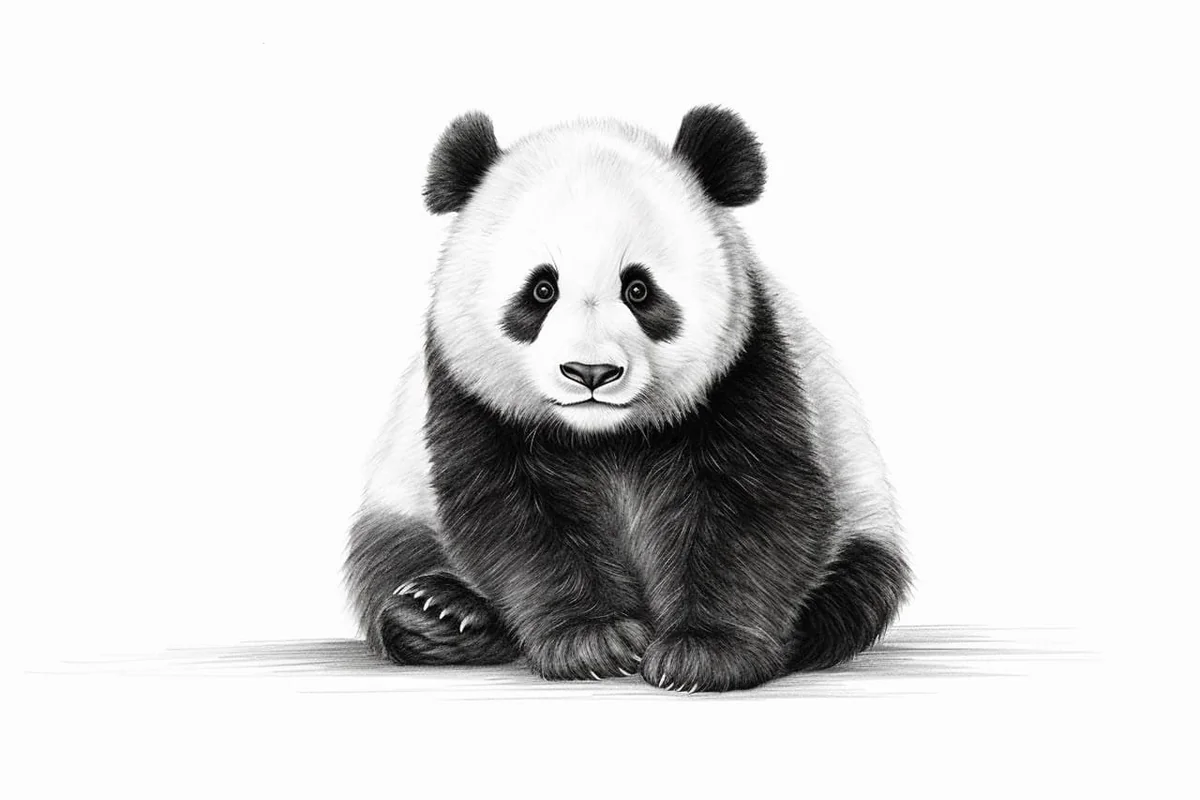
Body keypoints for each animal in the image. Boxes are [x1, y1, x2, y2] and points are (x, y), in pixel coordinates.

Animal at [345, 106, 911, 692]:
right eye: (541, 290)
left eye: (639, 290)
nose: (590, 372)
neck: (606, 437)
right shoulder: (468, 396)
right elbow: (513, 516)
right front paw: (594, 641)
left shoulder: (749, 370)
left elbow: (755, 506)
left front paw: (704, 653)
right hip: (399, 508)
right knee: (392, 561)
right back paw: (440, 611)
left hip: (862, 507)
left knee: (855, 587)